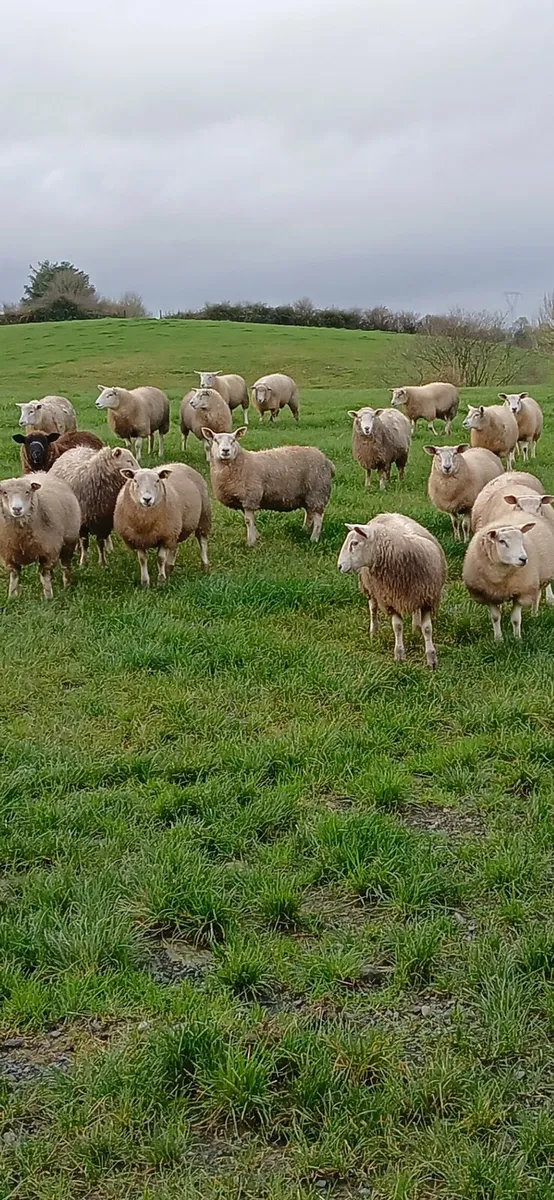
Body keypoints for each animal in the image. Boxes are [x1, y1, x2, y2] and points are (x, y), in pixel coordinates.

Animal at [204, 427, 334, 545]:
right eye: (215, 440)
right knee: (309, 513)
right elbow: (250, 520)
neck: (241, 462)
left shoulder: (250, 497)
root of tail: (327, 460)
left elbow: (248, 521)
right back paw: (304, 530)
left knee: (318, 518)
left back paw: (314, 539)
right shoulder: (241, 500)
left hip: (317, 492)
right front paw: (257, 536)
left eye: (234, 440)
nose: (225, 451)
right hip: (308, 494)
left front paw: (251, 542)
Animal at [337, 513, 447, 668]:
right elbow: (398, 626)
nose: (339, 566)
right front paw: (399, 654)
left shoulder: (427, 598)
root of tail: (385, 513)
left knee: (415, 612)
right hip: (369, 587)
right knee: (373, 608)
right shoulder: (390, 599)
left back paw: (415, 628)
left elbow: (427, 629)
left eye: (354, 543)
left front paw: (431, 658)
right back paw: (374, 631)